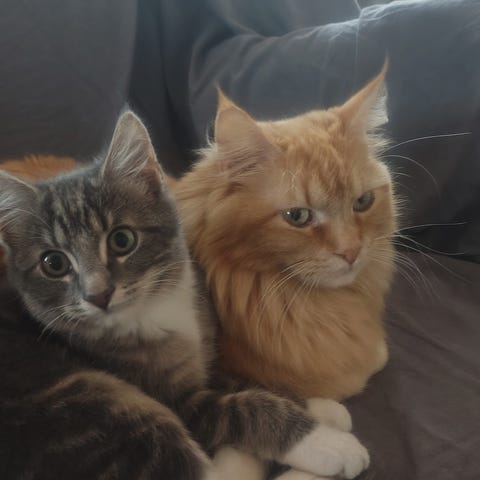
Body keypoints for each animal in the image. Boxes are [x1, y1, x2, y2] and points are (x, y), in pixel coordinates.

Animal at [0, 111, 369, 480]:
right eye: (54, 263)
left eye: (122, 240)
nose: (98, 295)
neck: (150, 308)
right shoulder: (174, 399)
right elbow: (241, 408)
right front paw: (327, 442)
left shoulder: (204, 351)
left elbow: (236, 378)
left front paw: (322, 408)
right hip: (93, 403)